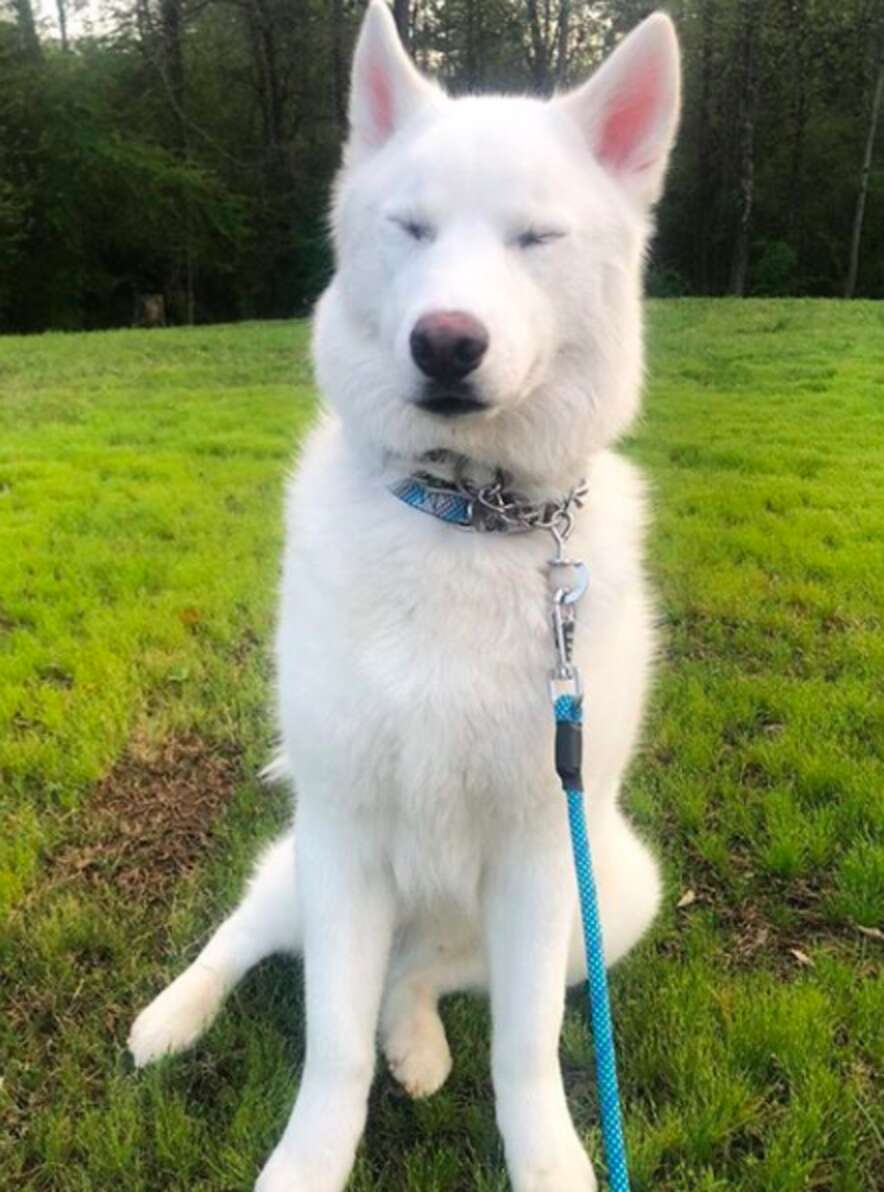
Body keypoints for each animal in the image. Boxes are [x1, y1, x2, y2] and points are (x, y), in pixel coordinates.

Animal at [131, 4, 681, 1187]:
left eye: (534, 239)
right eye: (413, 229)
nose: (446, 340)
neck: (466, 515)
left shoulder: (540, 859)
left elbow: (523, 1050)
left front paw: (549, 1161)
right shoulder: (343, 834)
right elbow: (329, 1047)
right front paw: (306, 1162)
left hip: (610, 897)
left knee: (417, 975)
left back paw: (416, 1037)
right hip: (307, 868)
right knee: (250, 932)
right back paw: (174, 1016)